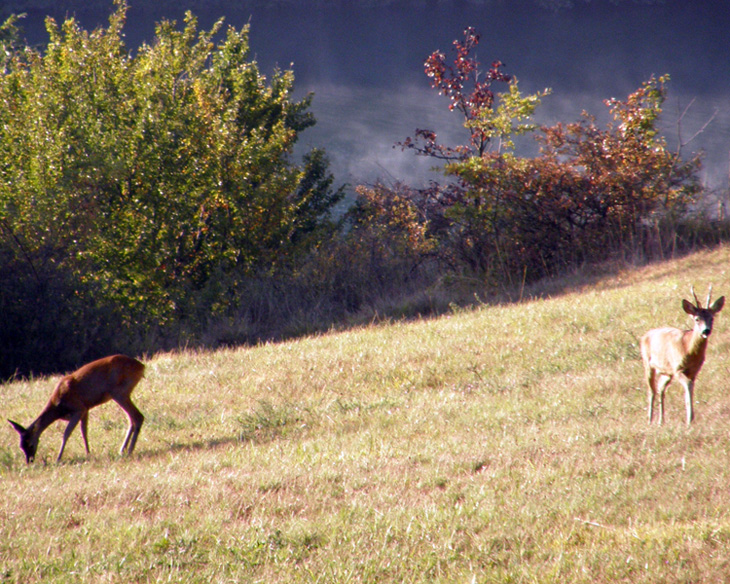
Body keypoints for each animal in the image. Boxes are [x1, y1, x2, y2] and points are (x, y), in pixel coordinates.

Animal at [7, 354, 145, 464]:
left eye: (30, 444)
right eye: (21, 446)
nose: (29, 461)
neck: (58, 407)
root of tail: (142, 367)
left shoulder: (78, 408)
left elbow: (66, 433)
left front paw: (58, 458)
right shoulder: (85, 409)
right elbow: (84, 432)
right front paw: (88, 453)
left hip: (119, 392)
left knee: (138, 416)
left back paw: (129, 451)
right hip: (122, 393)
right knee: (132, 419)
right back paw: (123, 450)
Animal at [636, 286, 724, 426]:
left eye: (712, 318)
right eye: (696, 319)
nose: (706, 330)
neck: (688, 349)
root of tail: (645, 335)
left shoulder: (693, 371)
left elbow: (691, 388)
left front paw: (690, 417)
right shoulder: (677, 368)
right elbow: (687, 386)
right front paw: (689, 419)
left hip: (666, 372)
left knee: (660, 389)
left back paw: (661, 421)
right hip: (647, 363)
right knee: (651, 390)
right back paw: (650, 420)